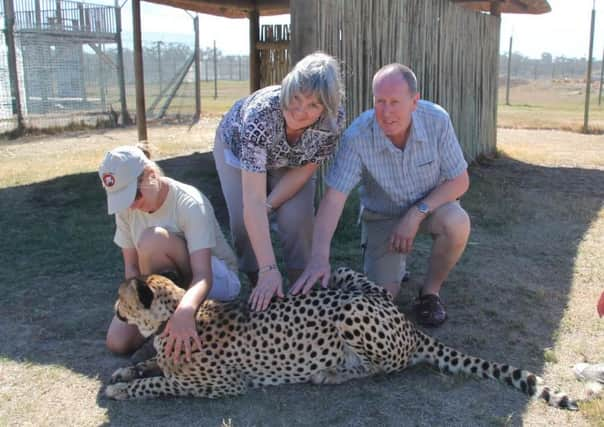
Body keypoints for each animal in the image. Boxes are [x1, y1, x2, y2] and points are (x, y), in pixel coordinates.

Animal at [106, 268, 580, 412]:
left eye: (120, 300)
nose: (113, 310)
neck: (177, 316)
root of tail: (409, 323)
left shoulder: (222, 385)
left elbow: (161, 383)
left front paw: (124, 389)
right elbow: (151, 365)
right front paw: (126, 371)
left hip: (352, 311)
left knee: (382, 368)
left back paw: (330, 375)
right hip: (344, 276)